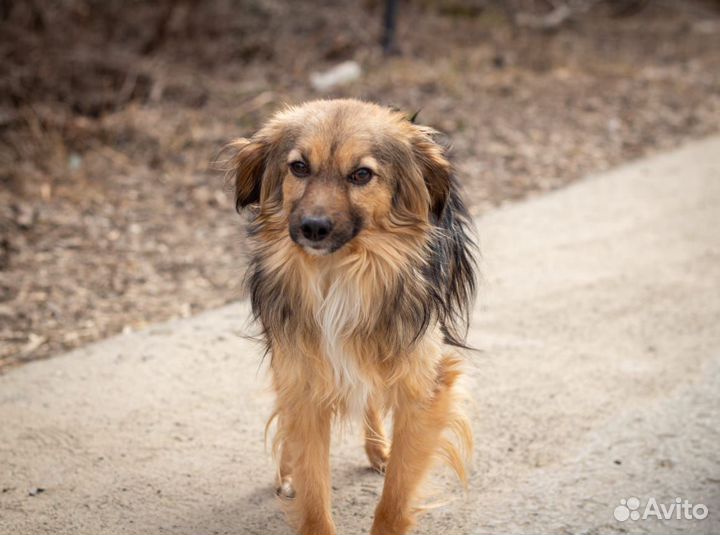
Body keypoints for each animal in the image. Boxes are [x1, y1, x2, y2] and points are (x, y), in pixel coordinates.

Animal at [232, 98, 478, 532]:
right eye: (299, 167)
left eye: (362, 174)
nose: (313, 228)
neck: (339, 274)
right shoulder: (302, 375)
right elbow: (313, 490)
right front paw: (300, 479)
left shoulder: (424, 384)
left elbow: (397, 493)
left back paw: (379, 449)